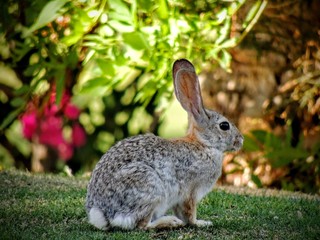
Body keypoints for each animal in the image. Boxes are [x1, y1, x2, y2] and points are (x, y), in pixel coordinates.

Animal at [85, 58, 242, 231]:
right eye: (224, 126)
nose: (240, 140)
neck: (204, 144)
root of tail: (102, 213)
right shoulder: (191, 191)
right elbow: (189, 212)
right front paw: (201, 223)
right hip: (150, 188)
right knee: (142, 225)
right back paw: (170, 222)